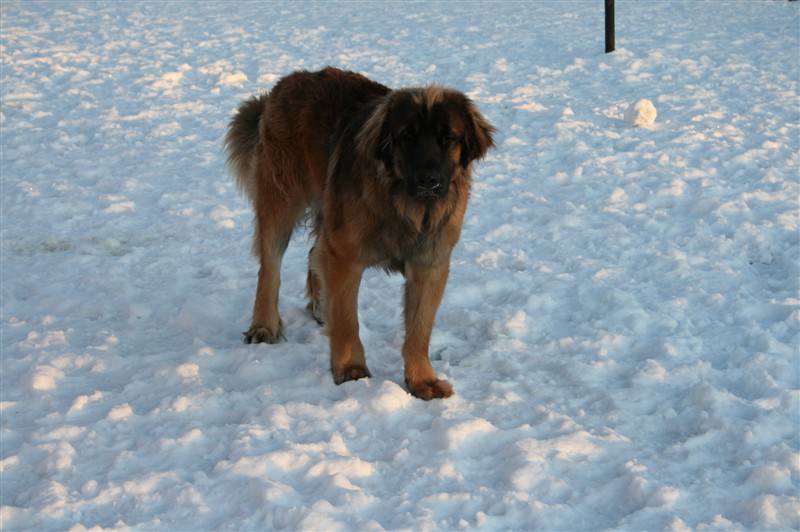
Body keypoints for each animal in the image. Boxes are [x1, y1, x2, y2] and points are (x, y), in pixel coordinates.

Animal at [225, 66, 496, 400]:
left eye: (448, 138)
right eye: (407, 137)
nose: (428, 180)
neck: (405, 206)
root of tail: (290, 79)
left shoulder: (430, 263)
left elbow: (420, 329)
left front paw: (422, 381)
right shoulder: (345, 257)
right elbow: (347, 322)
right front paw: (351, 370)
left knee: (314, 252)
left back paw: (319, 306)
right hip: (281, 200)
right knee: (270, 268)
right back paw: (264, 326)